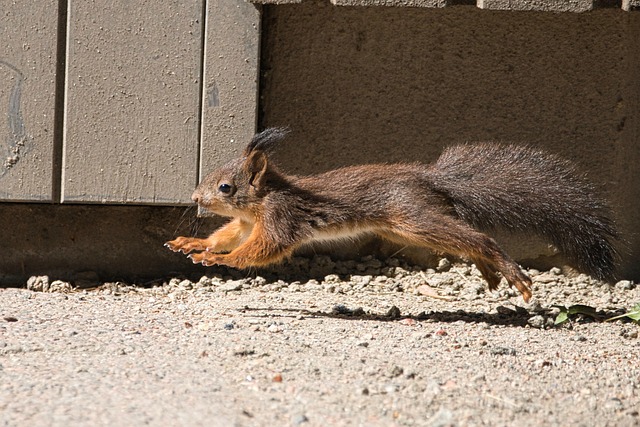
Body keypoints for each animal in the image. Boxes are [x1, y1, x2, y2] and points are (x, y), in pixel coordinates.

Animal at [166, 129, 620, 302]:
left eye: (226, 187)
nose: (195, 197)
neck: (262, 200)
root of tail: (430, 177)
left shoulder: (281, 219)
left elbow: (260, 251)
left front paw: (219, 260)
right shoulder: (245, 223)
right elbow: (226, 235)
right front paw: (195, 243)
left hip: (413, 219)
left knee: (480, 238)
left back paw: (507, 270)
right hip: (412, 228)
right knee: (466, 236)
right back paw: (488, 272)